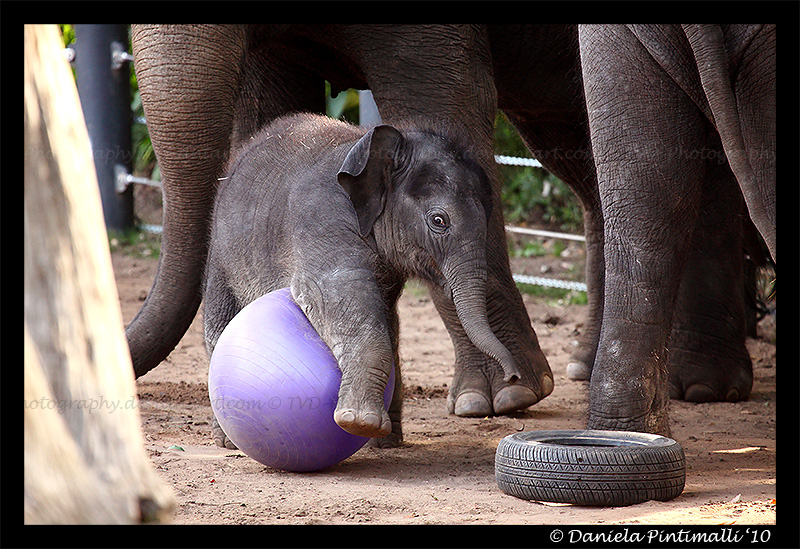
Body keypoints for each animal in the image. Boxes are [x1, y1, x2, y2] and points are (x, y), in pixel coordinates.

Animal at [206, 110, 520, 446]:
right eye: (439, 221)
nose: (512, 376)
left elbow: (386, 320)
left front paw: (381, 438)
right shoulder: (322, 219)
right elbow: (337, 297)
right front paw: (359, 423)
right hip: (221, 253)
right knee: (218, 322)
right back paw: (226, 441)